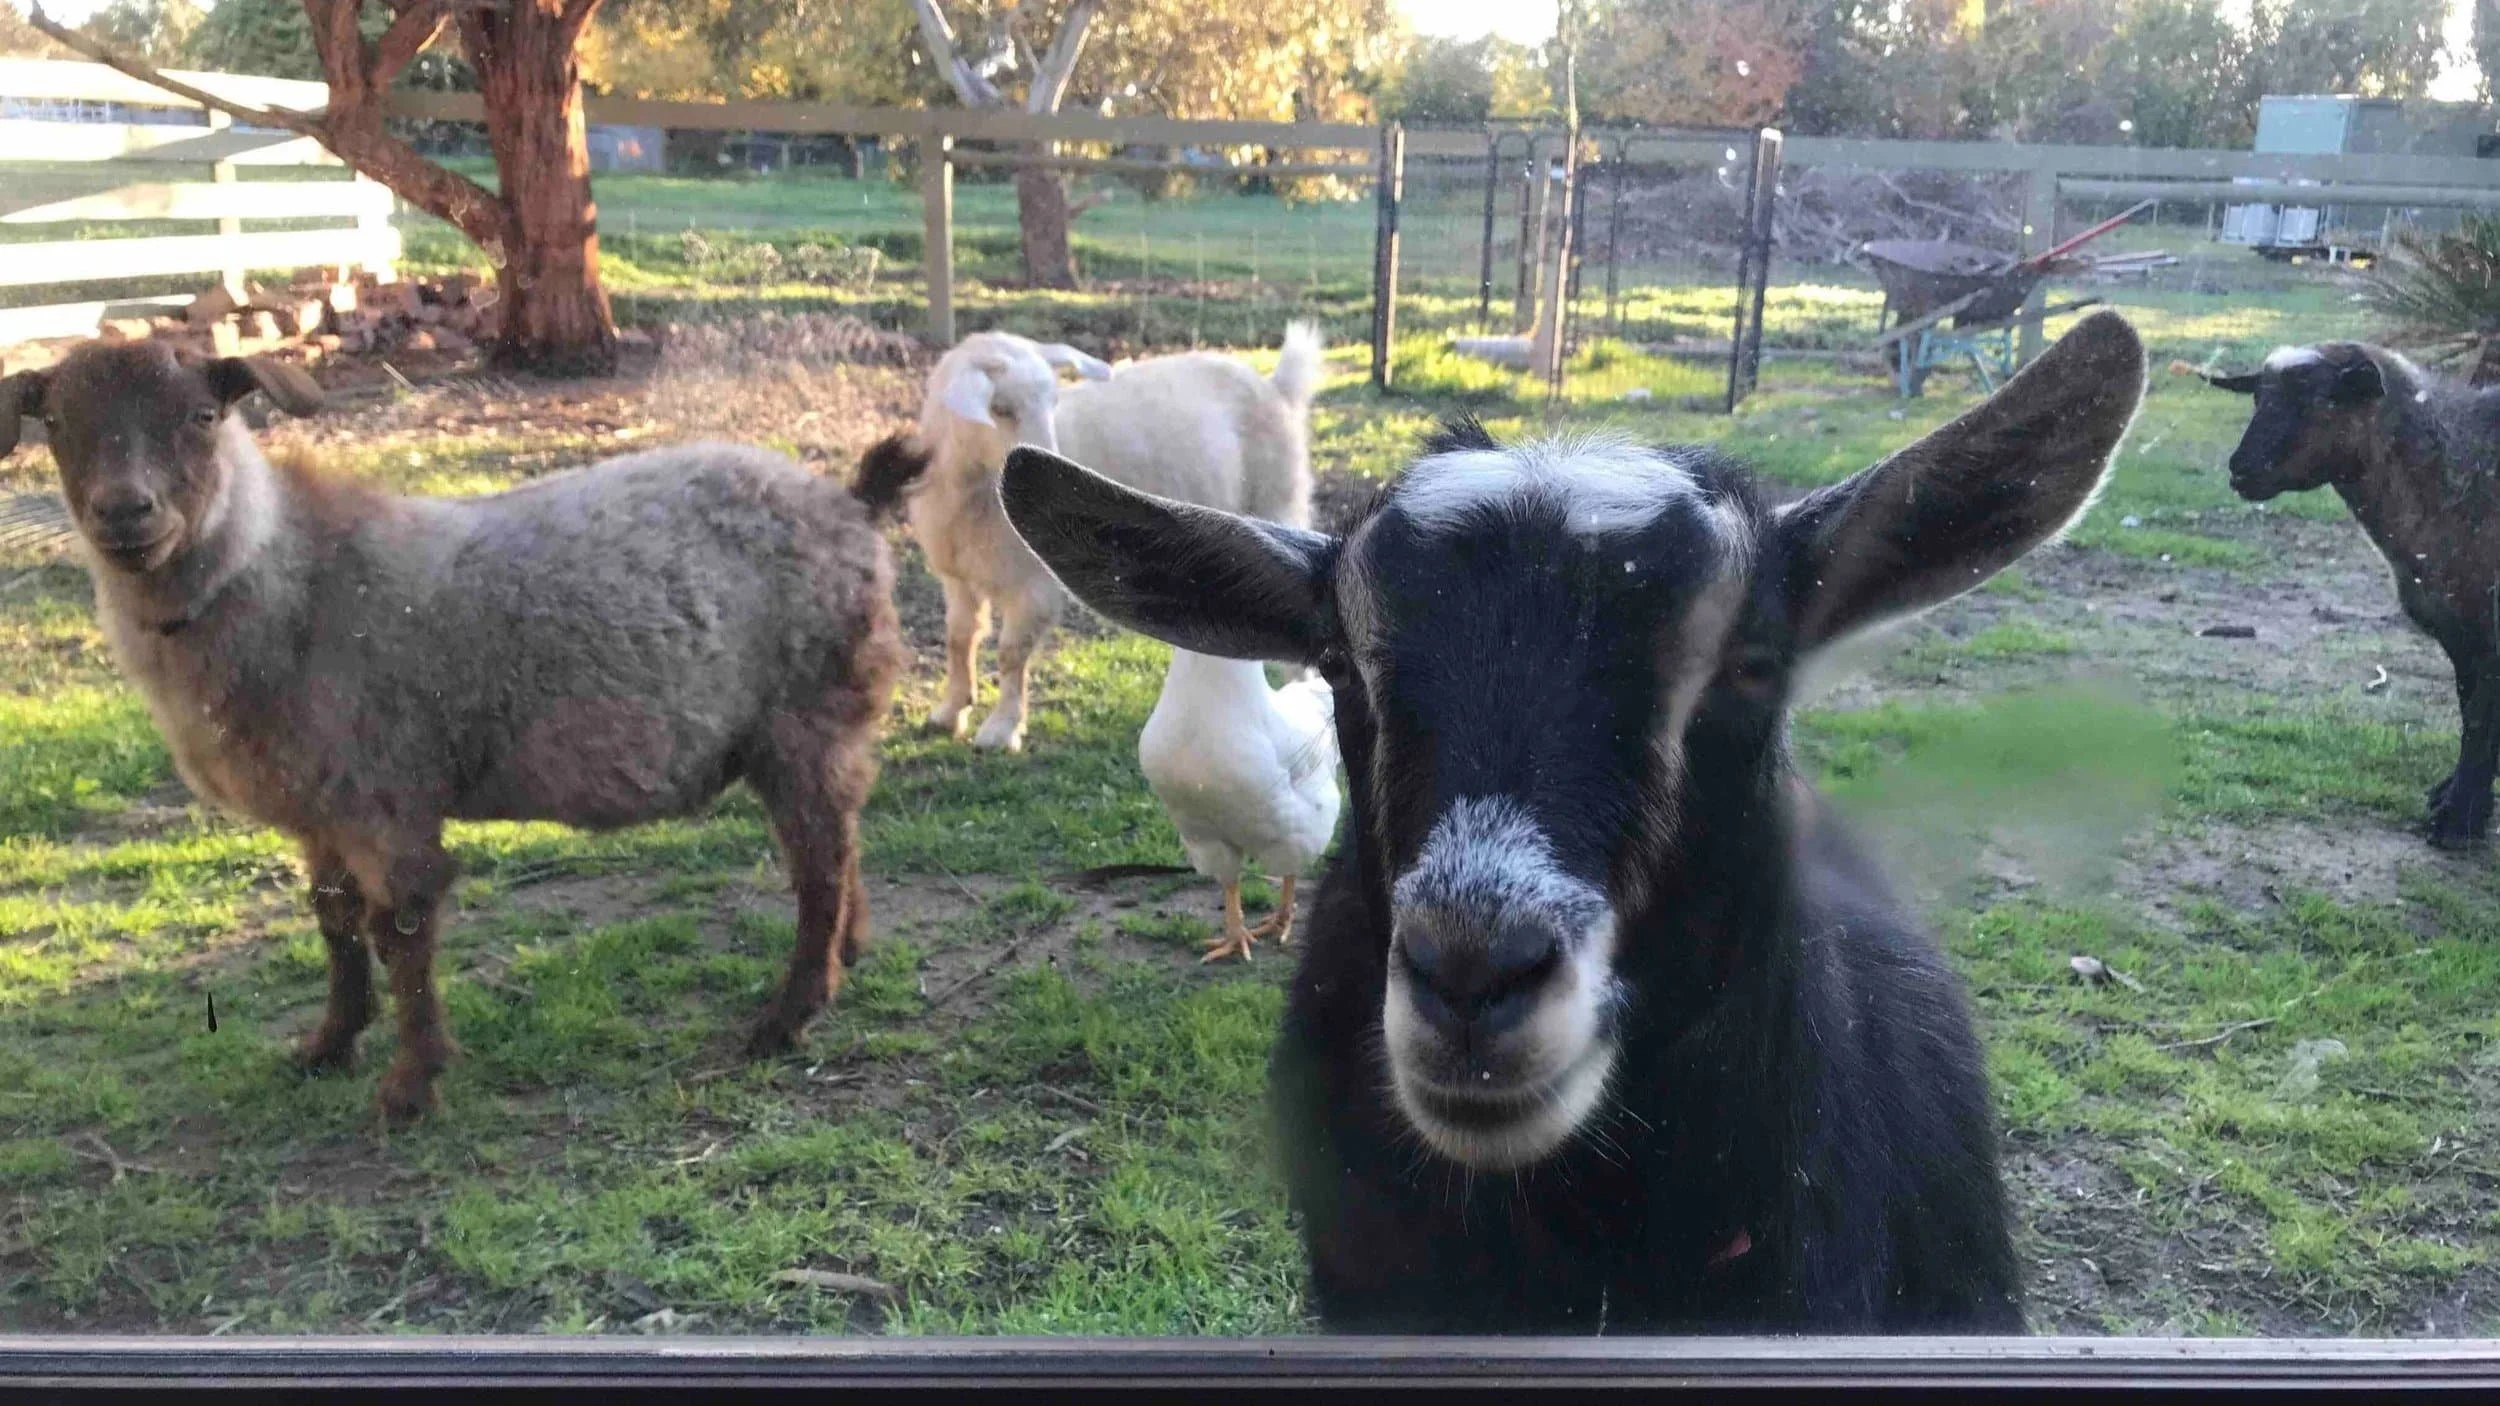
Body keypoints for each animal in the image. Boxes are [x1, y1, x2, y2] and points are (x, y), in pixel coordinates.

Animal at [0, 341, 907, 1124]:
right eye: (56, 422)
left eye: (201, 415)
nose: (125, 512)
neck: (290, 580)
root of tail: (851, 501)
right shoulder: (319, 809)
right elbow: (333, 923)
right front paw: (326, 1046)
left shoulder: (384, 798)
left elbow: (398, 932)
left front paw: (410, 1087)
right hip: (813, 729)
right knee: (841, 839)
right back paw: (850, 954)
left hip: (805, 714)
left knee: (818, 865)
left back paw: (789, 1015)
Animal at [872, 323, 1323, 752]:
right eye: (999, 409)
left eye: (1053, 402)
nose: (1045, 466)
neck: (972, 493)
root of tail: (1276, 384)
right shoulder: (958, 577)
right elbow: (959, 638)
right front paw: (950, 711)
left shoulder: (1033, 584)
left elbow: (1011, 653)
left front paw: (1002, 728)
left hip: (1276, 499)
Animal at [2195, 343, 2500, 849]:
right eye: (2258, 395)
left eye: (2320, 399)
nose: (2240, 470)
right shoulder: (2460, 634)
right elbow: (2469, 714)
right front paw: (2455, 799)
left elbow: (2481, 721)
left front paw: (2457, 823)